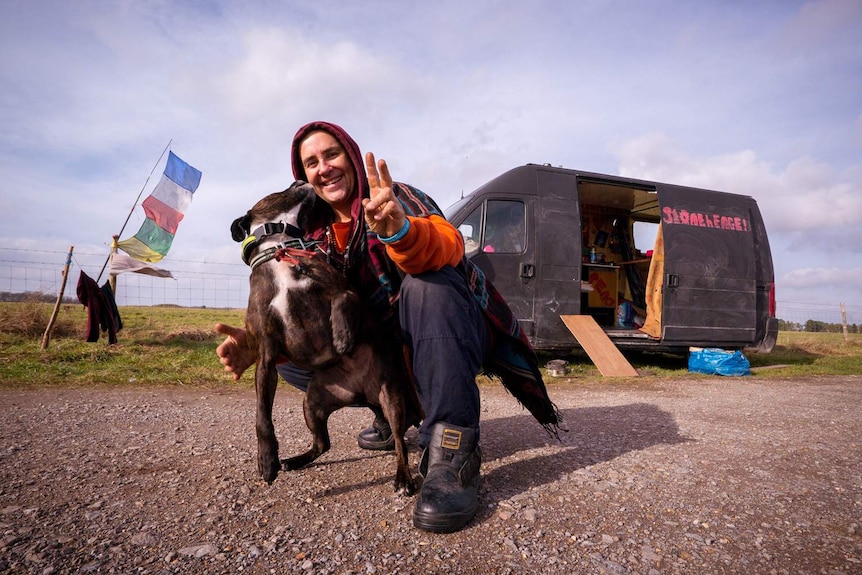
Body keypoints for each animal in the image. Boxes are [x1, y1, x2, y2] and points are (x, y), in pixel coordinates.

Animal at [231, 183, 424, 496]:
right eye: (283, 190)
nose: (301, 181)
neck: (280, 251)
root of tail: (361, 392)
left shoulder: (350, 294)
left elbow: (343, 298)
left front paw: (342, 336)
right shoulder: (266, 358)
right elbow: (262, 416)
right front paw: (267, 460)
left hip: (390, 395)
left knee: (399, 443)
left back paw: (404, 478)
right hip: (313, 403)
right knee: (323, 443)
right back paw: (295, 460)